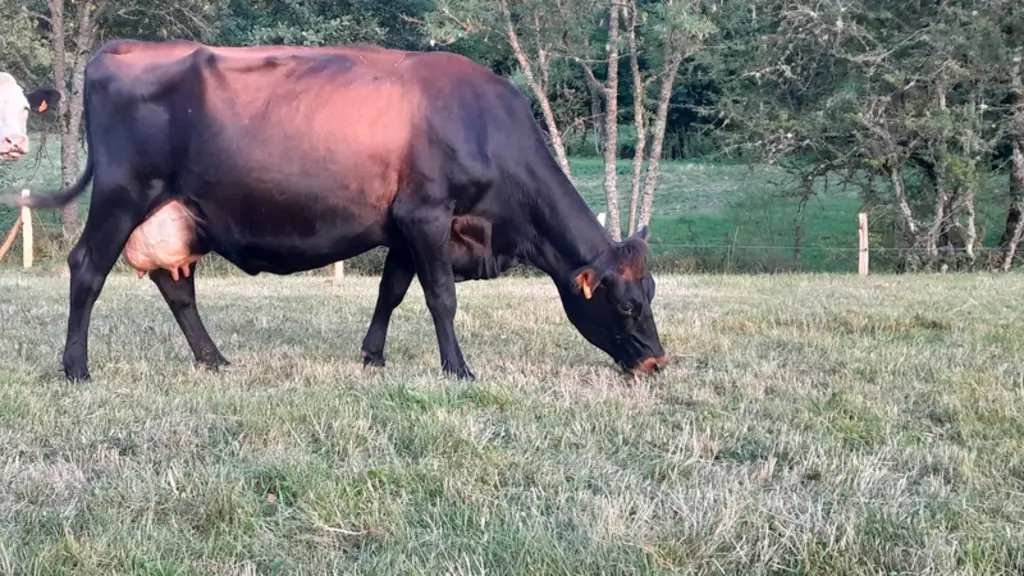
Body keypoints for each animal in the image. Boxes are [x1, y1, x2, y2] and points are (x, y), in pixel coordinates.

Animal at [1, 39, 666, 382]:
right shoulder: (428, 213)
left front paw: (372, 356)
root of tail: (116, 51)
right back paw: (76, 368)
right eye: (628, 306)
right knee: (87, 269)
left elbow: (392, 291)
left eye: (650, 294)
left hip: (173, 214)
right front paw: (458, 369)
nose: (657, 361)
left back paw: (215, 359)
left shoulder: (407, 224)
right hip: (122, 195)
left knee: (176, 285)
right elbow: (441, 297)